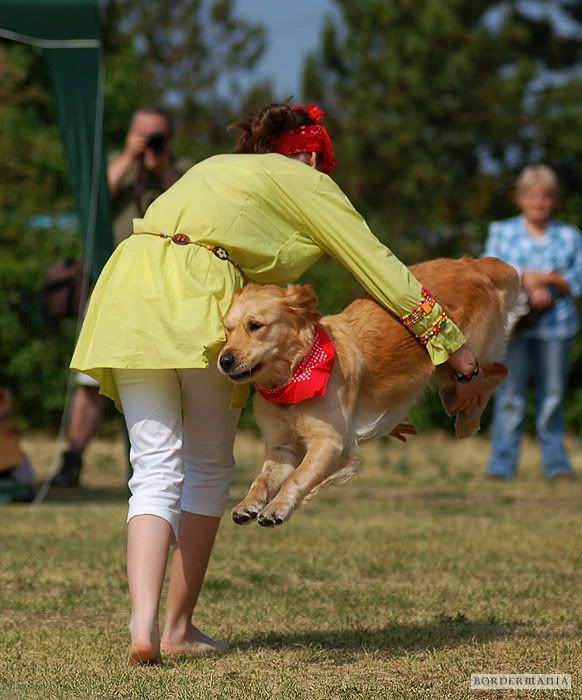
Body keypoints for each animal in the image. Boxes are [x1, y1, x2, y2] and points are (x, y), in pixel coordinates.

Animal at [219, 256, 520, 524]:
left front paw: (276, 509)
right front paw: (247, 504)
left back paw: (467, 420)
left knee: (494, 373)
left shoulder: (330, 441)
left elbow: (297, 477)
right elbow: (262, 479)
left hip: (457, 356)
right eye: (227, 330)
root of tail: (471, 264)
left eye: (255, 326)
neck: (294, 377)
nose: (224, 360)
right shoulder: (280, 446)